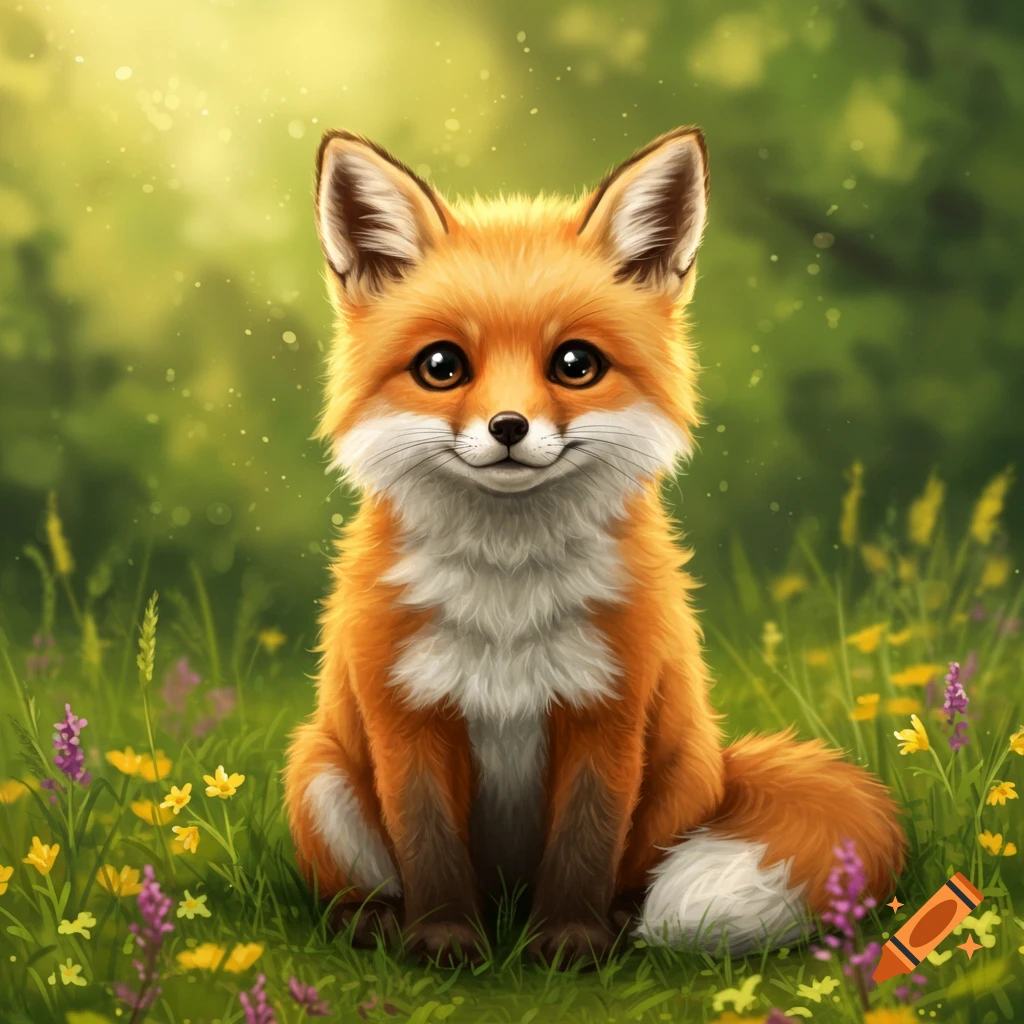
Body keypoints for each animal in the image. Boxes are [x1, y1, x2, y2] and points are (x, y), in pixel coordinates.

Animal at [282, 124, 906, 967]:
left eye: (575, 364)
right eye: (442, 366)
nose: (508, 427)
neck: (507, 592)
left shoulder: (605, 708)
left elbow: (583, 846)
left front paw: (570, 945)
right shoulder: (407, 713)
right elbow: (430, 847)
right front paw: (443, 941)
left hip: (676, 780)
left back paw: (620, 928)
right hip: (320, 775)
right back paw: (374, 921)